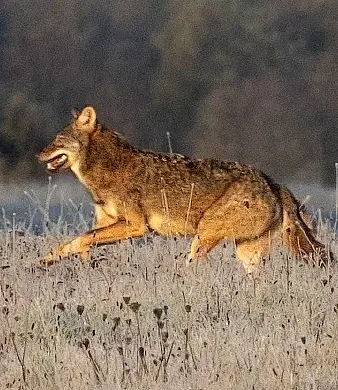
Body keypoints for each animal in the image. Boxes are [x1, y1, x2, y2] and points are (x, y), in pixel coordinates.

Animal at [36, 105, 332, 272]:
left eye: (57, 139)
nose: (38, 154)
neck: (105, 170)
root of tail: (273, 182)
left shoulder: (136, 226)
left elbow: (83, 239)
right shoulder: (106, 223)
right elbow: (71, 242)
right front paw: (44, 262)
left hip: (203, 237)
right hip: (245, 253)